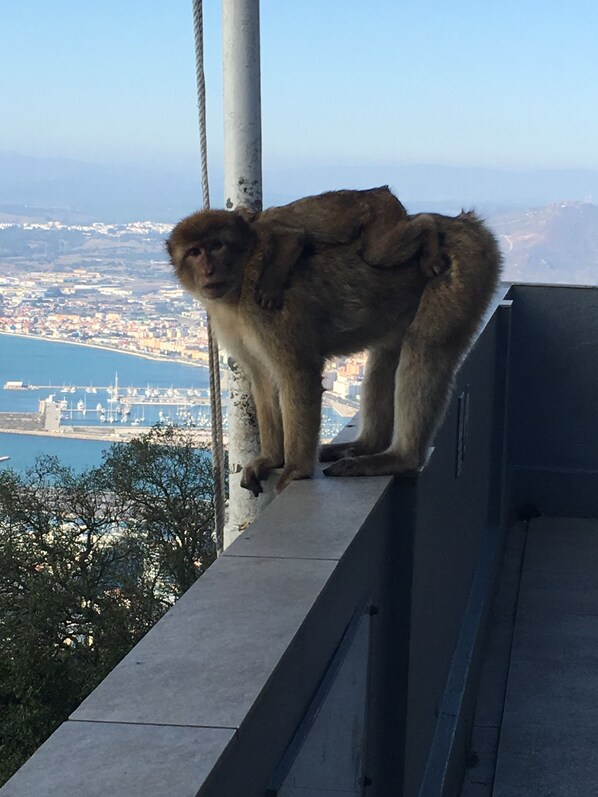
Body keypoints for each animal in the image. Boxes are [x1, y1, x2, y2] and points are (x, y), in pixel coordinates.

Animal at [166, 204, 501, 495]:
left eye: (217, 246)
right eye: (195, 252)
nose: (209, 270)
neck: (237, 287)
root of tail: (467, 224)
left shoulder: (265, 308)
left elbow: (298, 373)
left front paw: (296, 470)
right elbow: (262, 381)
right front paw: (271, 459)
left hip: (464, 267)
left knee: (426, 348)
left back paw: (399, 458)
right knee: (386, 356)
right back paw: (369, 445)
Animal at [240, 187, 448, 310]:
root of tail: (383, 191)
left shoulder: (267, 227)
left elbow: (293, 239)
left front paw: (269, 288)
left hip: (382, 212)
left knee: (378, 252)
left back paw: (428, 232)